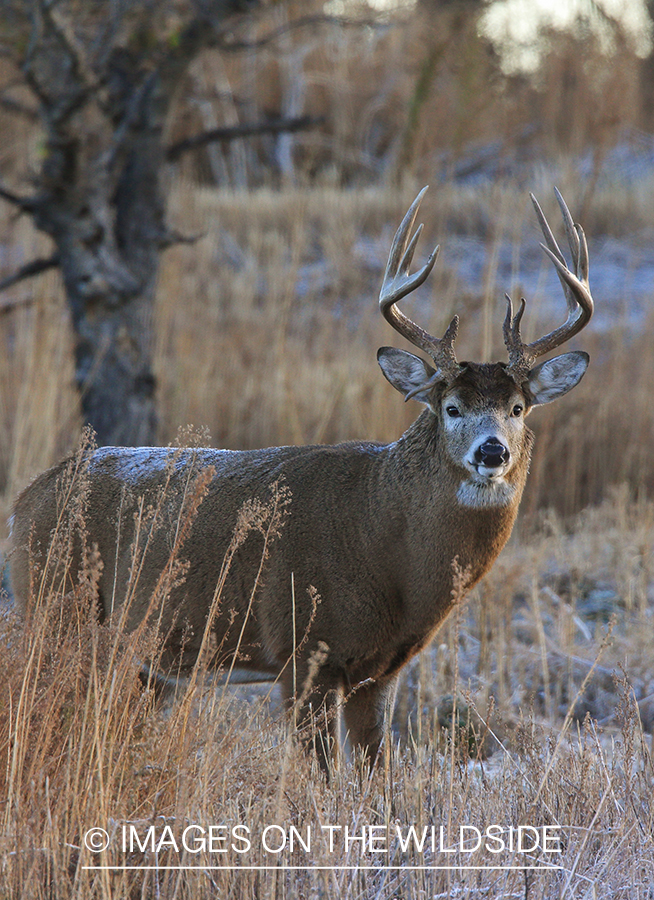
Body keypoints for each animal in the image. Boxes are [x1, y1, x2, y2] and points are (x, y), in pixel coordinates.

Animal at [10, 188, 596, 772]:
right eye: (451, 408)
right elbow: (322, 776)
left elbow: (376, 773)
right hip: (53, 605)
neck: (387, 542)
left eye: (518, 408)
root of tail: (25, 498)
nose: (492, 450)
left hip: (143, 656)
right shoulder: (301, 648)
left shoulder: (380, 671)